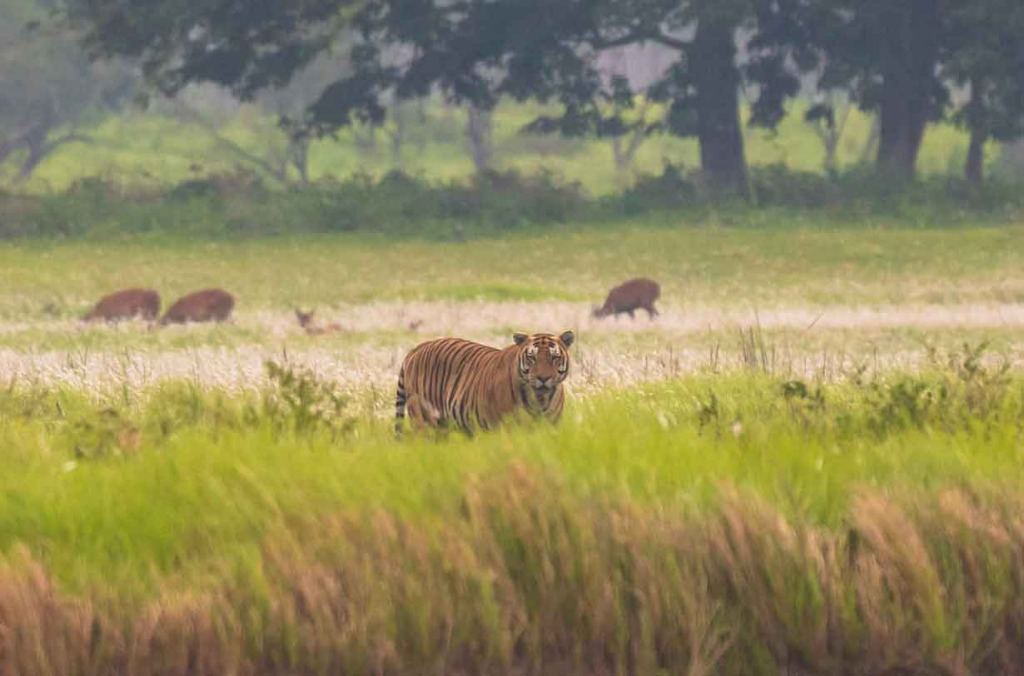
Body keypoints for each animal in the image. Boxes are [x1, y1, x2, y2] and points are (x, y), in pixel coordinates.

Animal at [394, 331, 575, 434]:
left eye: (554, 357)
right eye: (532, 357)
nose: (543, 378)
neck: (540, 399)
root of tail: (415, 349)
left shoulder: (551, 426)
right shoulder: (505, 428)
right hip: (423, 419)